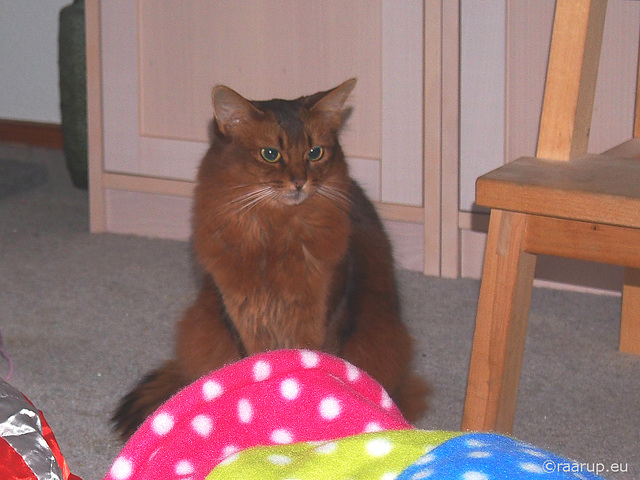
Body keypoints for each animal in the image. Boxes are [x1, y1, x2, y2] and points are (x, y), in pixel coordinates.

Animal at [112, 78, 428, 438]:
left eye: (315, 152)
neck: (275, 236)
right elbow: (257, 368)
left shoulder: (323, 313)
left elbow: (315, 367)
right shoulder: (238, 314)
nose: (300, 182)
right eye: (270, 154)